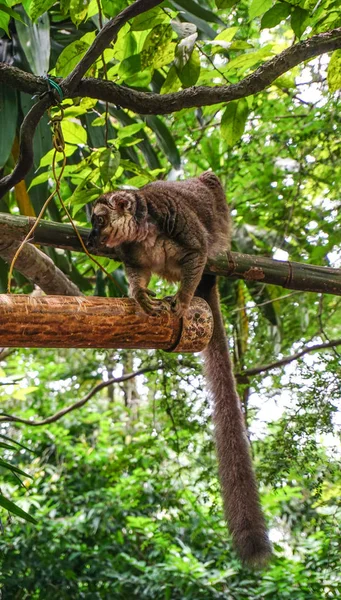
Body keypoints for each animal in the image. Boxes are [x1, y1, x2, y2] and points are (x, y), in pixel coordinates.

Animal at [87, 171, 270, 564]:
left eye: (98, 220)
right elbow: (137, 272)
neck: (142, 233)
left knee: (209, 192)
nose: (91, 240)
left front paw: (184, 302)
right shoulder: (130, 253)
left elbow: (197, 250)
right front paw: (140, 296)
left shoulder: (177, 221)